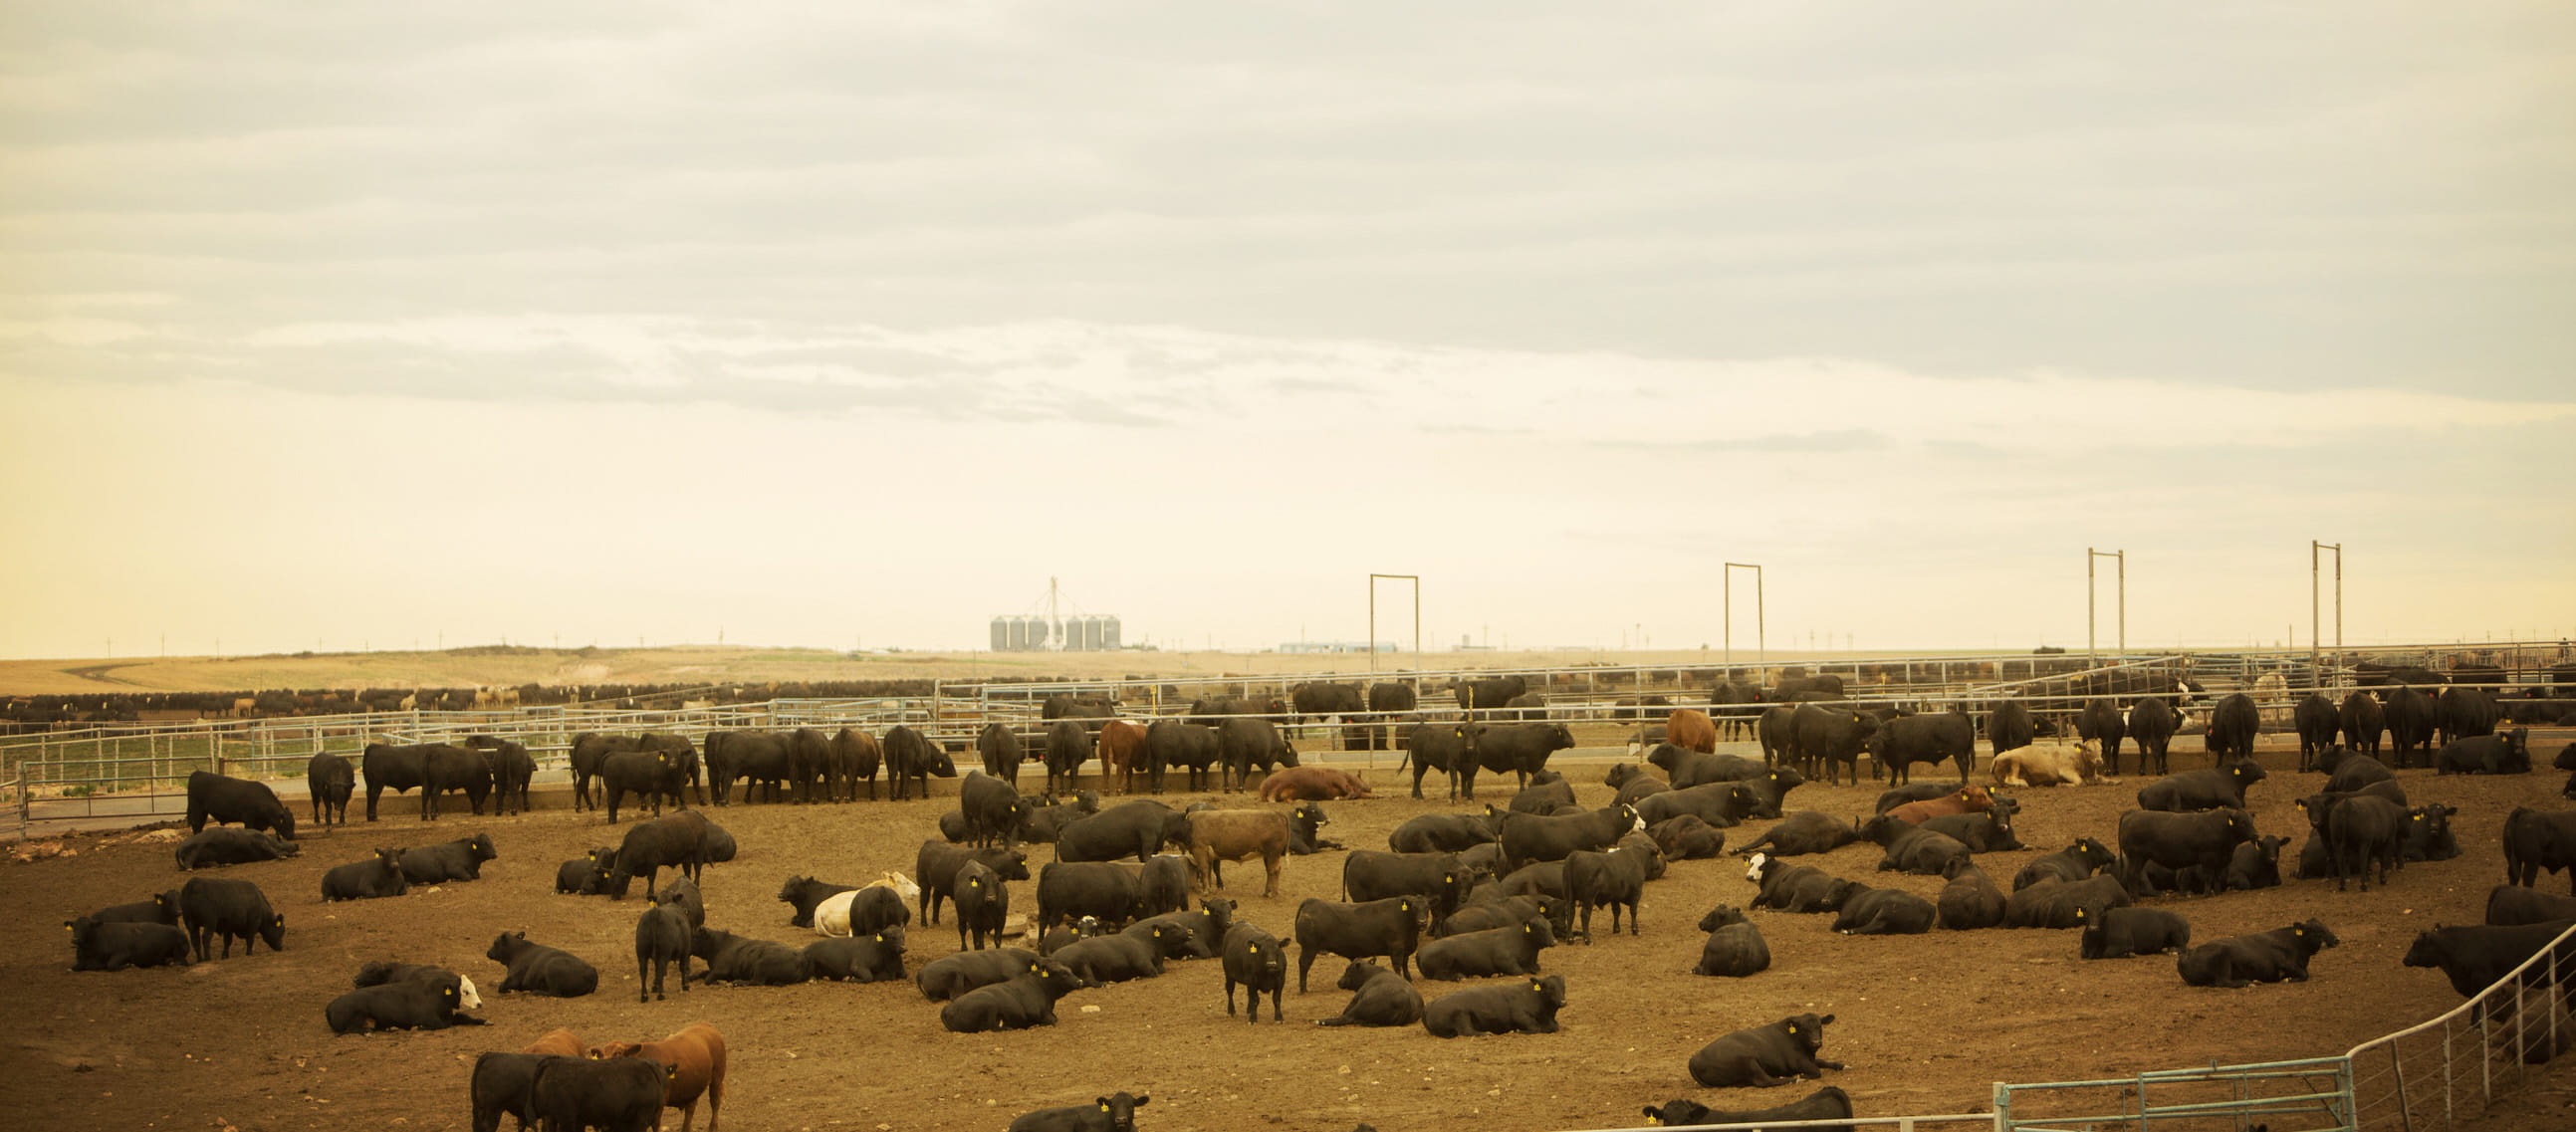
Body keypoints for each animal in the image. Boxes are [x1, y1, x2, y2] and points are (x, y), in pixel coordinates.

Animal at [1421, 974, 1565, 1037]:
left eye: (1563, 986)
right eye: (1550, 987)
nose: (1563, 1001)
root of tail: (1429, 1006)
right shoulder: (1519, 1015)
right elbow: (1534, 1027)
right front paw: (1517, 1031)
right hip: (1461, 1015)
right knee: (1466, 1031)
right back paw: (1486, 1033)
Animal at [1687, 1013, 1844, 1088]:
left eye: (1819, 1026)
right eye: (1804, 1028)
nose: (1816, 1042)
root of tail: (1694, 1057)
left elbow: (1822, 1061)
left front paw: (1842, 1065)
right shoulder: (1798, 1062)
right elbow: (1816, 1071)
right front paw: (1800, 1075)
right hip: (1749, 1061)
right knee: (1765, 1080)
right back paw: (1795, 1079)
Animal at [2177, 919, 2340, 987]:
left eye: (2325, 926)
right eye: (2318, 931)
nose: (2336, 940)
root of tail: (2186, 954)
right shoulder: (2285, 963)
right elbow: (2304, 975)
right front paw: (2287, 979)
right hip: (2222, 961)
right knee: (2223, 982)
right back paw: (2250, 982)